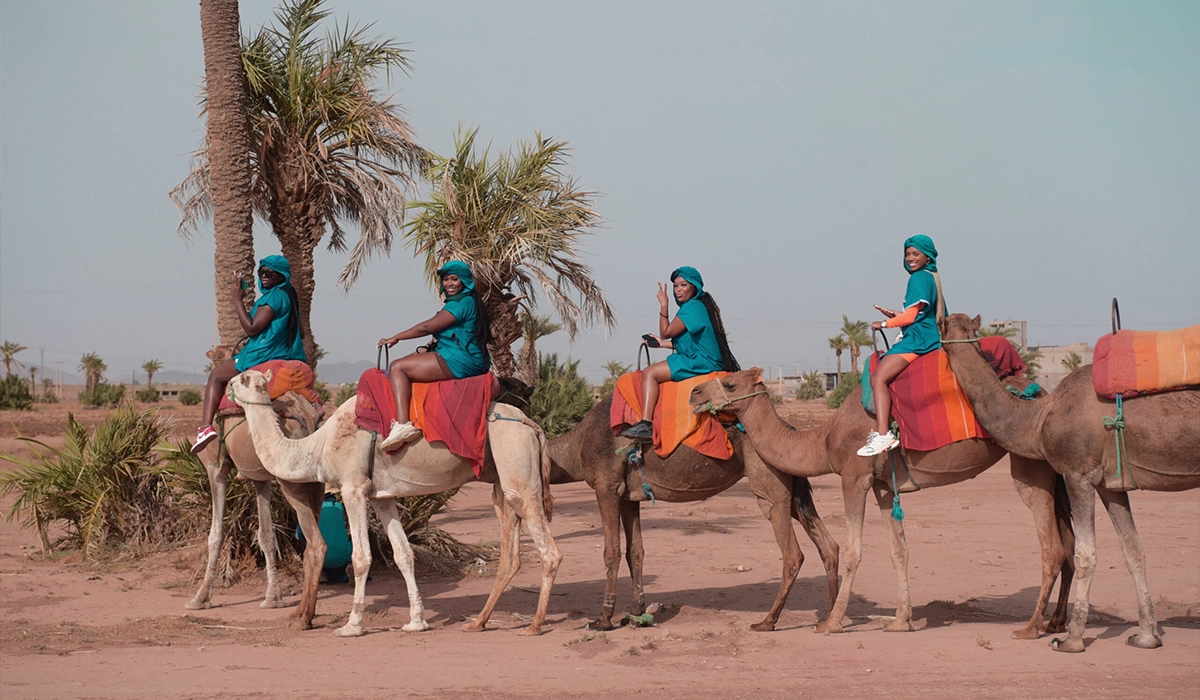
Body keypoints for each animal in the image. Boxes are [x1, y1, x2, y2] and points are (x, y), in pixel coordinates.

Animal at [183, 389, 326, 619]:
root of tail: (308, 417)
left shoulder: (216, 465)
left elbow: (216, 534)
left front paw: (200, 598)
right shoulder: (261, 477)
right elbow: (266, 535)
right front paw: (273, 598)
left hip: (291, 477)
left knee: (317, 543)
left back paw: (303, 615)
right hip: (317, 482)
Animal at [226, 369, 559, 638]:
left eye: (242, 378)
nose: (227, 388)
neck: (318, 447)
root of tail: (532, 424)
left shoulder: (353, 487)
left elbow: (361, 557)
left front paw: (352, 625)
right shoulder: (380, 497)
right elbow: (403, 554)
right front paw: (416, 622)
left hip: (516, 461)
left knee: (548, 549)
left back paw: (534, 625)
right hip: (500, 480)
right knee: (510, 551)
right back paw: (478, 622)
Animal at [549, 396, 840, 633]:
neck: (575, 446)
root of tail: (790, 430)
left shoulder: (606, 486)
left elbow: (611, 551)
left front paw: (603, 619)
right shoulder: (629, 496)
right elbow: (636, 552)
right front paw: (635, 615)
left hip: (769, 483)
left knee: (792, 552)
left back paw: (768, 621)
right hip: (793, 489)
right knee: (828, 545)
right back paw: (830, 616)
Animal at [691, 367, 1075, 638]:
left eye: (729, 384)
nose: (694, 392)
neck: (823, 440)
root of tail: (1045, 393)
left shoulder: (854, 477)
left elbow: (853, 550)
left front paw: (831, 623)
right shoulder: (883, 487)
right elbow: (898, 550)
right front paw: (901, 621)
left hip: (1030, 466)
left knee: (1051, 547)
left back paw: (1031, 628)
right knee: (1067, 544)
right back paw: (1055, 623)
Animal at [940, 314, 1195, 653]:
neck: (1039, 417)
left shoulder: (1078, 473)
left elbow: (1084, 555)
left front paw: (1070, 639)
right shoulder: (1111, 484)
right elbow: (1133, 551)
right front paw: (1146, 637)